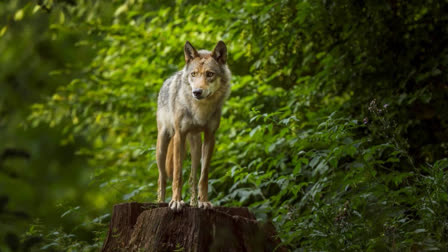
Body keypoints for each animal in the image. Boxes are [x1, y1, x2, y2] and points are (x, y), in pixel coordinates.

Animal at [156, 40, 231, 211]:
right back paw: (160, 202)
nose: (196, 92)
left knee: (192, 177)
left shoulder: (210, 137)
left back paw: (193, 203)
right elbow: (177, 175)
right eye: (194, 74)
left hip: (195, 147)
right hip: (163, 145)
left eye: (210, 74)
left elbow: (203, 177)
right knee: (162, 177)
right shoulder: (179, 136)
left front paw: (204, 202)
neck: (200, 110)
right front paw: (176, 201)